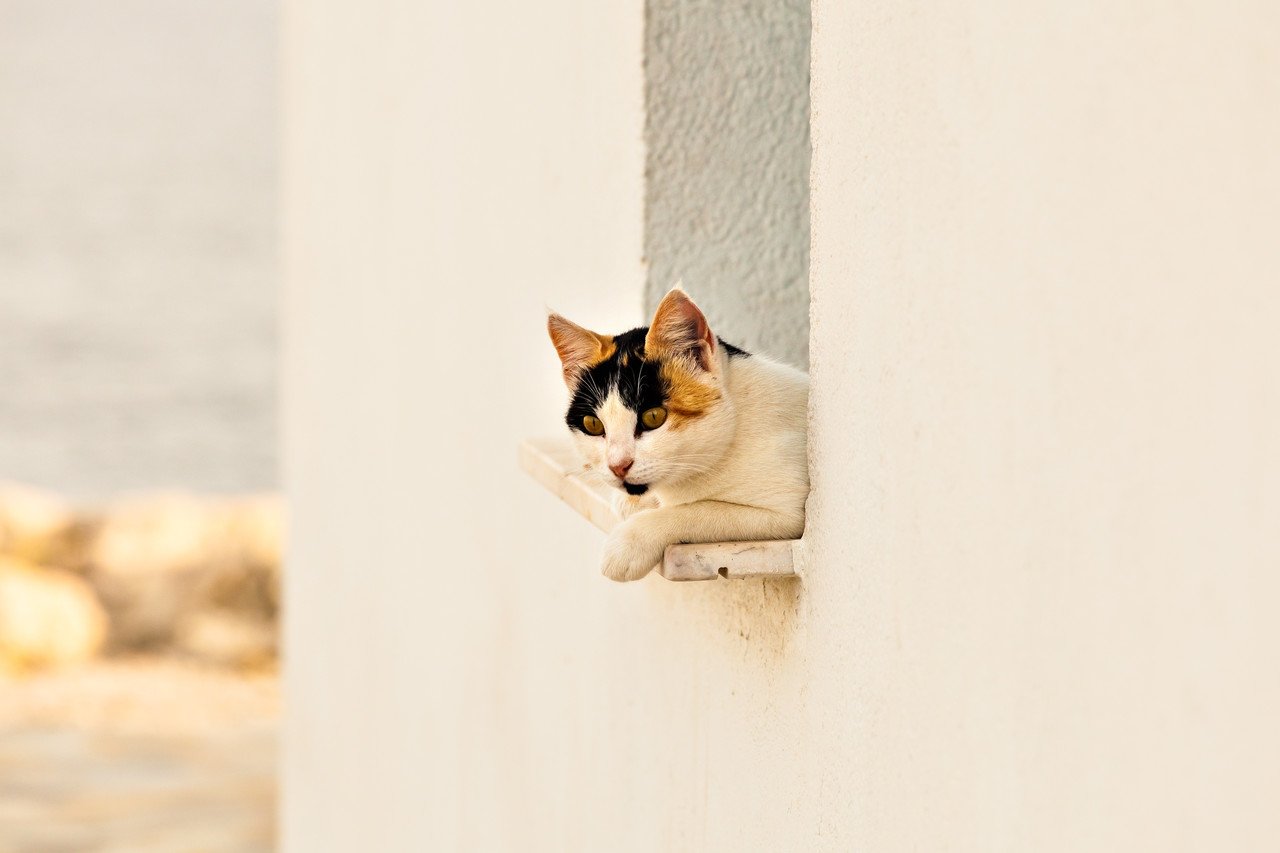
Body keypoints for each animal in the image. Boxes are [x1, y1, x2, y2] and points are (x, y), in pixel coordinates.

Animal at [547, 285, 808, 578]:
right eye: (593, 425)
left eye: (653, 417)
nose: (618, 465)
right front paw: (634, 502)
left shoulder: (788, 512)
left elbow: (701, 510)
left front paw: (629, 541)